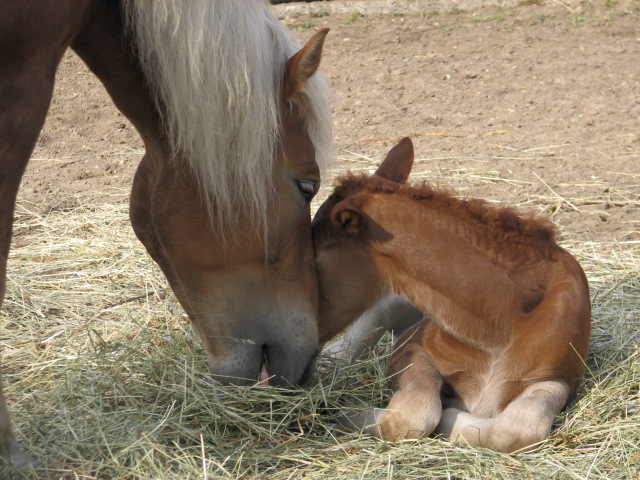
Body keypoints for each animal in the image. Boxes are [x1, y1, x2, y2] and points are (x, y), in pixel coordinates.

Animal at [312, 137, 592, 452]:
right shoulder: (411, 346)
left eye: (312, 257)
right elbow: (416, 414)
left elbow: (515, 430)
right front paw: (339, 407)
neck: (504, 320)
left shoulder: (558, 379)